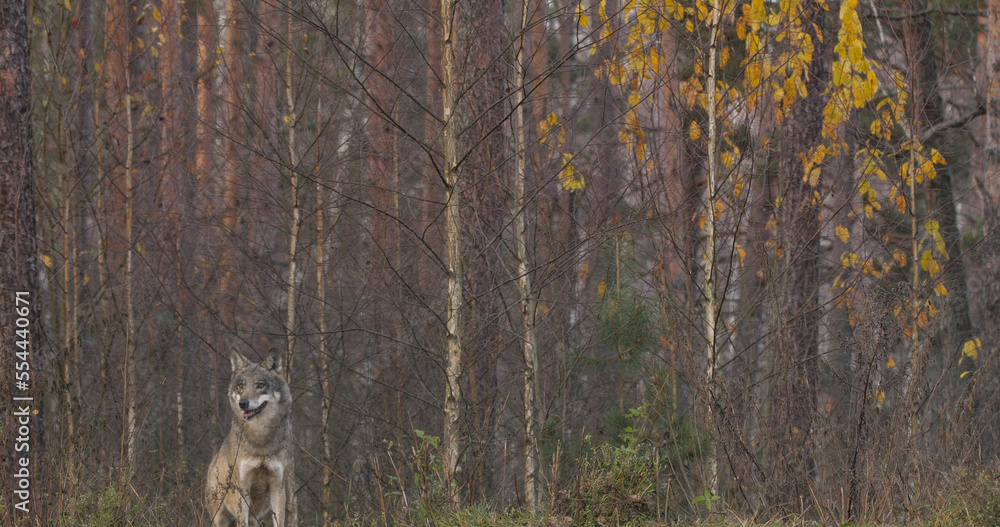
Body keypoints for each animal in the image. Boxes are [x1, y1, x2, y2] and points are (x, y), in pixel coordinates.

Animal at [206, 349, 296, 527]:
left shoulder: (278, 487)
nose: (243, 403)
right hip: (219, 516)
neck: (260, 438)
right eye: (241, 385)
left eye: (260, 385)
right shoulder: (242, 489)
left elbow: (279, 521)